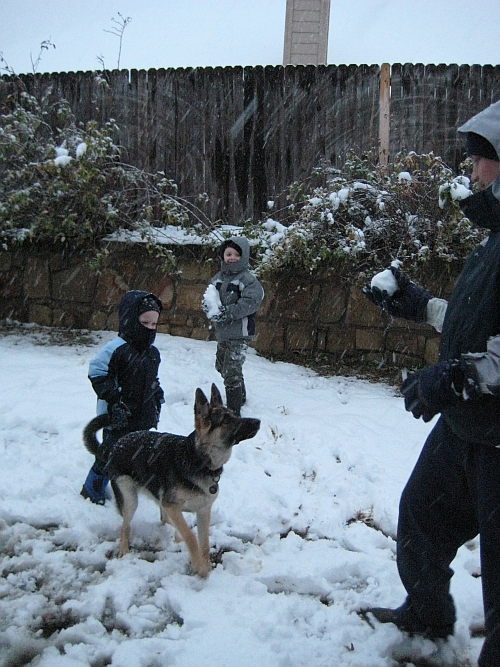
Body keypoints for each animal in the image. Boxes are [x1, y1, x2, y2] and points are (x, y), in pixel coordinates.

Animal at [83, 384, 260, 576]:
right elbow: (191, 536)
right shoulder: (172, 505)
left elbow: (204, 544)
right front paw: (199, 567)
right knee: (125, 526)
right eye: (226, 420)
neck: (198, 460)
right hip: (130, 499)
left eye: (235, 415)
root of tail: (115, 446)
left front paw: (205, 568)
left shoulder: (203, 510)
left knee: (164, 519)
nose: (258, 421)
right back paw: (124, 549)